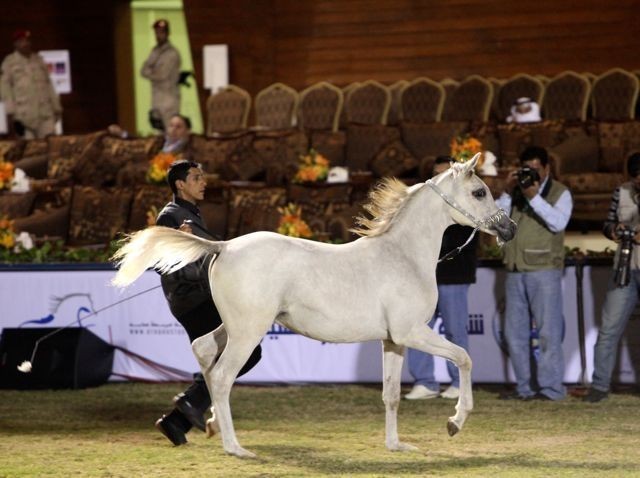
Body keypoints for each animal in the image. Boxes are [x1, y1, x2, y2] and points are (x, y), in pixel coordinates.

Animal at [112, 154, 516, 458]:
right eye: (479, 191)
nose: (509, 229)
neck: (403, 255)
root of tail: (223, 246)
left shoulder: (393, 340)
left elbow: (390, 395)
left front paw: (397, 445)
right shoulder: (413, 333)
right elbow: (464, 358)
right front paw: (455, 422)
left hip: (237, 328)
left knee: (203, 350)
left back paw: (206, 423)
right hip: (248, 332)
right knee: (223, 375)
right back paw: (235, 447)